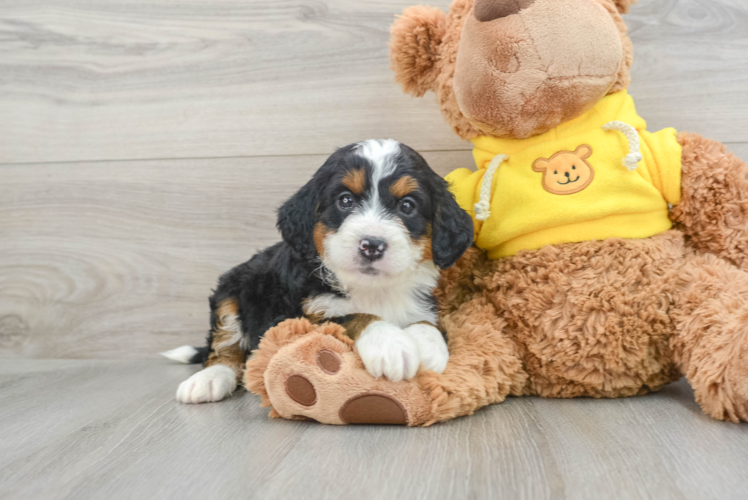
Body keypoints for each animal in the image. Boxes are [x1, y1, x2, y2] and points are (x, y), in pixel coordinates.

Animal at [164, 140, 474, 402]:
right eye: (345, 201)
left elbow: (427, 323)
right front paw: (389, 344)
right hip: (231, 289)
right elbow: (351, 317)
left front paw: (429, 347)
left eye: (407, 205)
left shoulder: (424, 305)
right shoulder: (294, 322)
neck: (373, 289)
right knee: (223, 345)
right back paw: (208, 380)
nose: (372, 245)